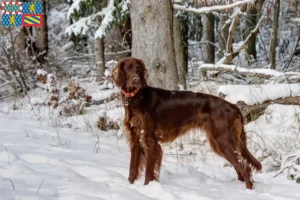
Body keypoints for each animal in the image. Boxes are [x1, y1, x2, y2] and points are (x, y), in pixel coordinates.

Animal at [111, 56, 262, 189]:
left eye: (139, 69)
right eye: (128, 68)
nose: (136, 80)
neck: (136, 98)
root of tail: (233, 106)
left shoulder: (150, 140)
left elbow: (149, 172)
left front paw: (147, 188)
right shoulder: (136, 139)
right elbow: (132, 169)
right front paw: (129, 186)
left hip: (223, 140)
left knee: (245, 167)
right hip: (220, 142)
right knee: (239, 167)